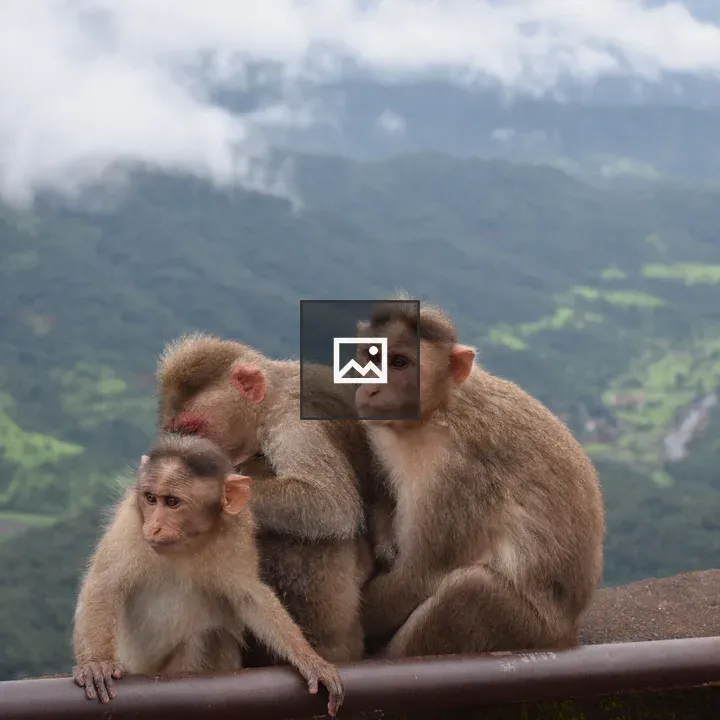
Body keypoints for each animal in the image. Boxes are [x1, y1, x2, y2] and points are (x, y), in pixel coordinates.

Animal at [72, 433, 344, 716]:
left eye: (172, 502)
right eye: (150, 498)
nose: (154, 527)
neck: (187, 542)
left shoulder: (237, 531)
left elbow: (250, 597)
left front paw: (309, 658)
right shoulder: (130, 524)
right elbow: (104, 584)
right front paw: (96, 663)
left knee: (210, 635)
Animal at [156, 333, 374, 665]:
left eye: (195, 429)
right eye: (180, 433)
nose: (194, 457)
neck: (271, 395)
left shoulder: (291, 416)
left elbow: (328, 501)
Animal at [354, 298, 605, 658]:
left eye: (399, 362)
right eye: (370, 357)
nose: (371, 388)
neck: (437, 411)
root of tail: (567, 633)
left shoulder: (459, 473)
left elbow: (418, 576)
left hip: (524, 629)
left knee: (471, 590)